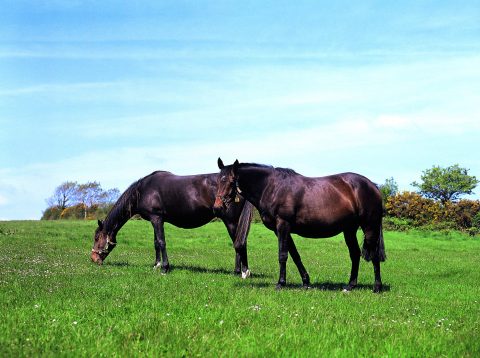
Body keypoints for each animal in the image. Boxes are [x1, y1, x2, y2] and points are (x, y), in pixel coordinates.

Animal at [91, 169, 255, 278]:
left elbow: (161, 242)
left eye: (96, 238)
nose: (93, 259)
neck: (143, 190)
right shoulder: (155, 220)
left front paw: (164, 268)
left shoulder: (156, 218)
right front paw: (156, 265)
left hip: (231, 221)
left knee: (239, 242)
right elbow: (156, 243)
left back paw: (242, 272)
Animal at [214, 158, 386, 292]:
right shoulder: (281, 230)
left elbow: (282, 255)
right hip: (349, 229)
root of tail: (373, 186)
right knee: (355, 254)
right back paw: (350, 286)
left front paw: (280, 283)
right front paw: (306, 282)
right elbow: (295, 255)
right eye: (217, 181)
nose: (217, 208)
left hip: (369, 227)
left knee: (374, 254)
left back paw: (377, 287)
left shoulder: (283, 225)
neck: (271, 187)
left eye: (231, 181)